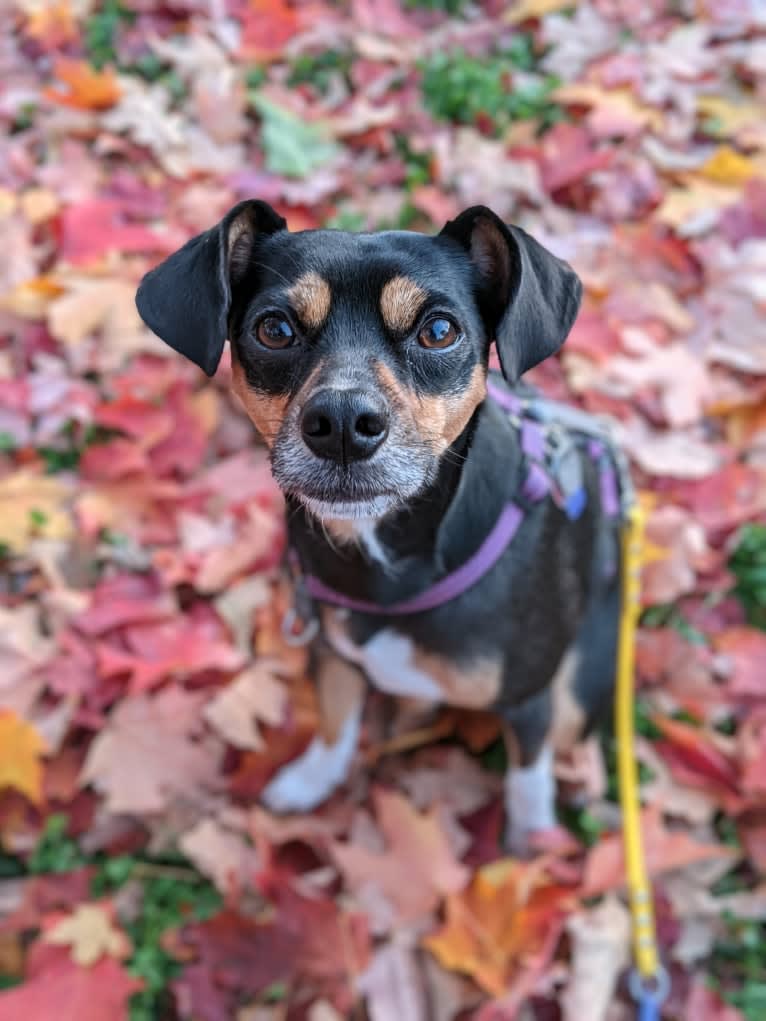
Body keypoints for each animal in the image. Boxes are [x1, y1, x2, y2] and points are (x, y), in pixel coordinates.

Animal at [136, 201, 625, 853]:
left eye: (439, 331)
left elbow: (527, 778)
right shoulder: (329, 648)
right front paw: (311, 780)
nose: (343, 422)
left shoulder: (529, 698)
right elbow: (336, 720)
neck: (386, 563)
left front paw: (530, 847)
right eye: (275, 329)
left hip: (577, 688)